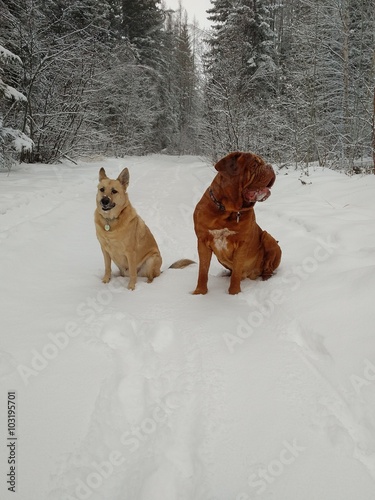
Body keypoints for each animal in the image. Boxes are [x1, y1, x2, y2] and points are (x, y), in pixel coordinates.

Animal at [194, 150, 282, 294]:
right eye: (254, 165)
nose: (270, 166)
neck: (228, 210)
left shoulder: (241, 244)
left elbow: (236, 273)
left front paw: (234, 294)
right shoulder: (202, 241)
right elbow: (203, 271)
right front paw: (200, 293)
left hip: (267, 237)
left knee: (267, 267)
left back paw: (265, 277)